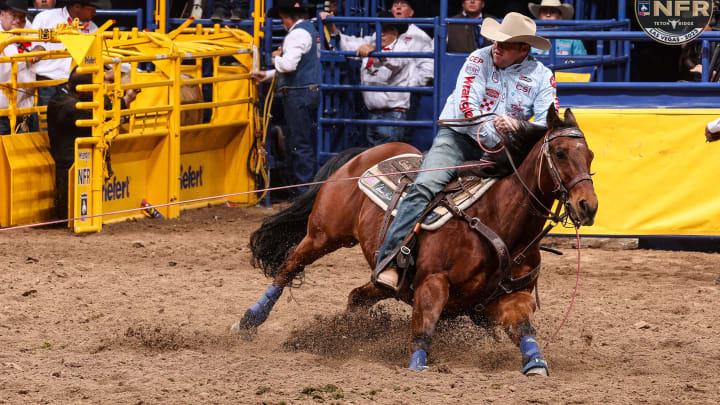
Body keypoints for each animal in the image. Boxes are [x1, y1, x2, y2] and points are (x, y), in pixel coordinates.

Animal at [233, 105, 600, 374]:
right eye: (561, 153)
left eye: (591, 156)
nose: (588, 205)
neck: (497, 217)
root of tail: (367, 153)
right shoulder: (433, 282)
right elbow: (424, 329)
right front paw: (418, 366)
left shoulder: (510, 297)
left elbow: (525, 330)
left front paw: (536, 364)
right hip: (323, 234)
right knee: (289, 267)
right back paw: (248, 321)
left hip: (381, 276)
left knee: (356, 297)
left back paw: (342, 334)